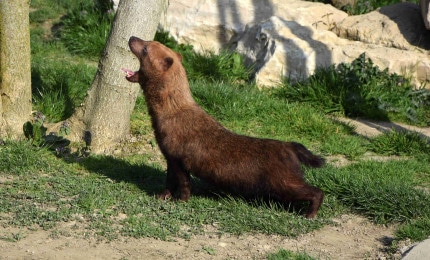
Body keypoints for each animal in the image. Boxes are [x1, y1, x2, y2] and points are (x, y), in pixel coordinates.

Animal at [122, 36, 324, 218]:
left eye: (146, 48)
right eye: (149, 41)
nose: (132, 37)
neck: (173, 113)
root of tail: (290, 146)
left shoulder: (179, 157)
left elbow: (184, 183)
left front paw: (181, 200)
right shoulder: (170, 157)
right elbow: (169, 181)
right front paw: (161, 196)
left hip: (283, 182)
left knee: (317, 191)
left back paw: (309, 214)